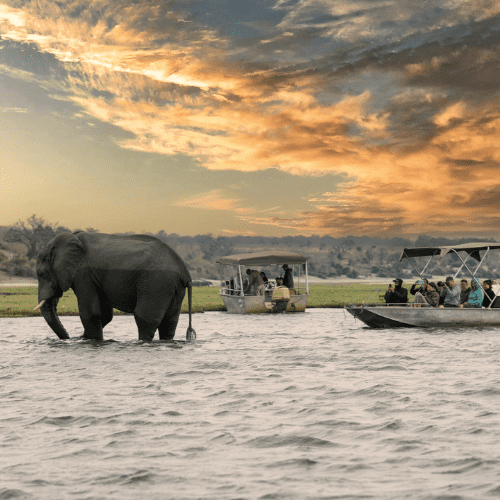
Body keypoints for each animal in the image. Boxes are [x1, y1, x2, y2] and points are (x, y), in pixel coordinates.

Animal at [33, 231, 195, 342]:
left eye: (41, 274)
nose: (70, 338)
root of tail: (185, 271)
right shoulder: (95, 278)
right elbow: (105, 315)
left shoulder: (84, 274)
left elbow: (91, 314)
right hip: (173, 287)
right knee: (169, 322)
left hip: (156, 283)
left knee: (145, 318)